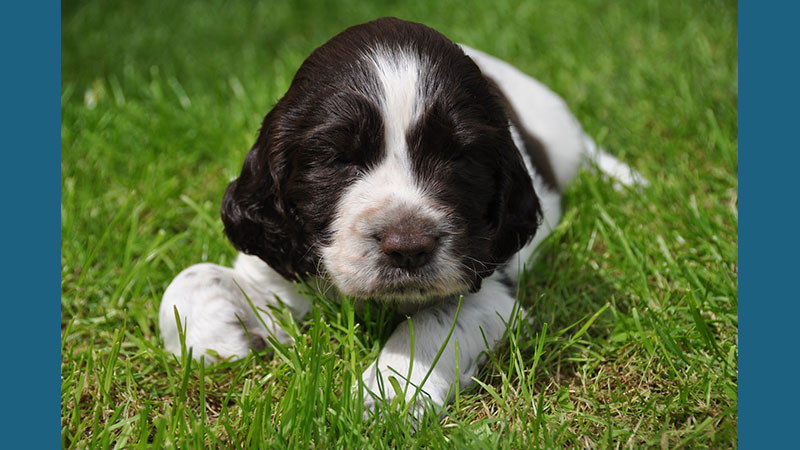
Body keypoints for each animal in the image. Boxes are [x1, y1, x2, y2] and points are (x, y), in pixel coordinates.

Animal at [156, 16, 644, 418]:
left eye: (458, 157)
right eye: (337, 157)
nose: (408, 248)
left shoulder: (492, 292)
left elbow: (432, 323)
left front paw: (386, 395)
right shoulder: (279, 265)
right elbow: (189, 279)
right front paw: (222, 338)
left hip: (558, 131)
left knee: (587, 149)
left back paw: (631, 182)